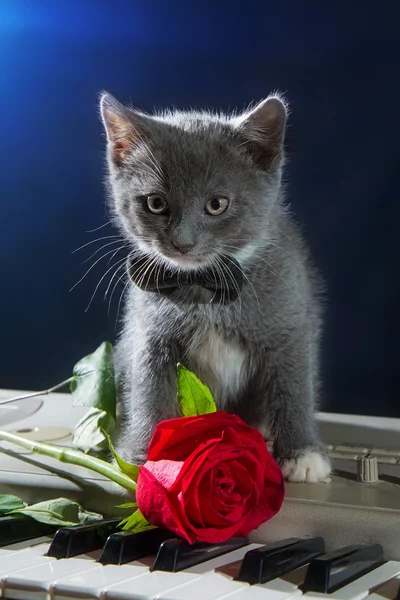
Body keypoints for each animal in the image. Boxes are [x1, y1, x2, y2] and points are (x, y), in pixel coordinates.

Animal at [100, 90, 332, 482]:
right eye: (156, 203)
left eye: (217, 205)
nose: (182, 243)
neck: (202, 288)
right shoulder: (149, 334)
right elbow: (150, 389)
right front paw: (148, 456)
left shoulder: (290, 322)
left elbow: (294, 384)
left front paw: (301, 454)